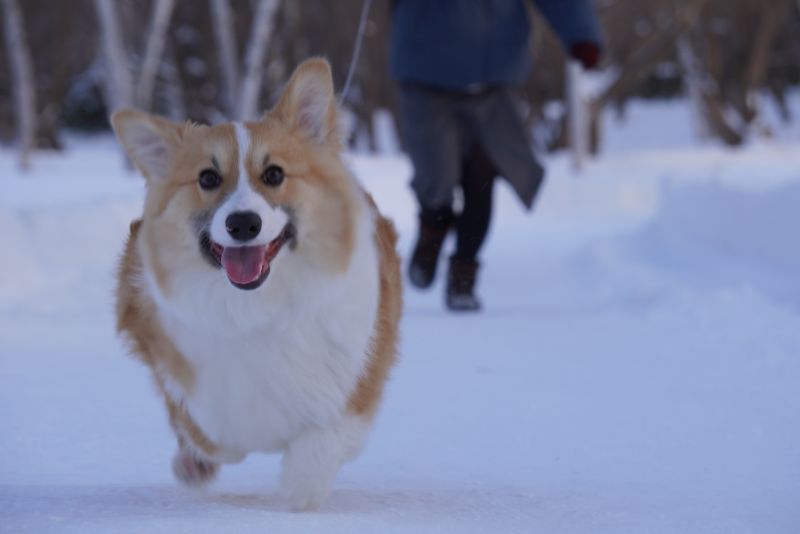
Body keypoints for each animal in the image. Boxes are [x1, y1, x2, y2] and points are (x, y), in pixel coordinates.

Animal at [110, 56, 404, 512]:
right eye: (208, 179)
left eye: (274, 174)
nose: (243, 223)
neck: (257, 307)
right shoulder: (179, 363)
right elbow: (210, 430)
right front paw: (198, 460)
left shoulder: (357, 374)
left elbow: (324, 437)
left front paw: (301, 488)